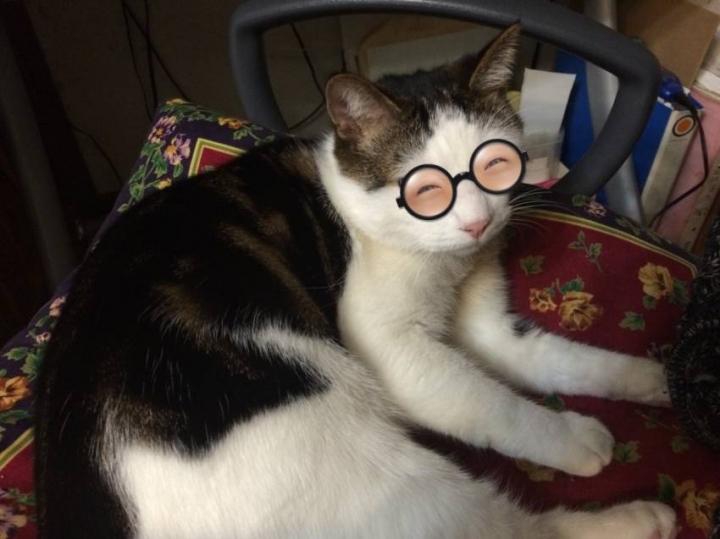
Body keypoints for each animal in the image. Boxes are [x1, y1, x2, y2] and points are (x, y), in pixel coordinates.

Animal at [35, 24, 676, 538]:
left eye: (496, 165)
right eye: (425, 190)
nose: (478, 223)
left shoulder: (490, 331)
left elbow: (555, 358)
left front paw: (655, 377)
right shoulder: (392, 348)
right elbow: (495, 404)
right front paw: (574, 440)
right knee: (517, 532)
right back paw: (639, 518)